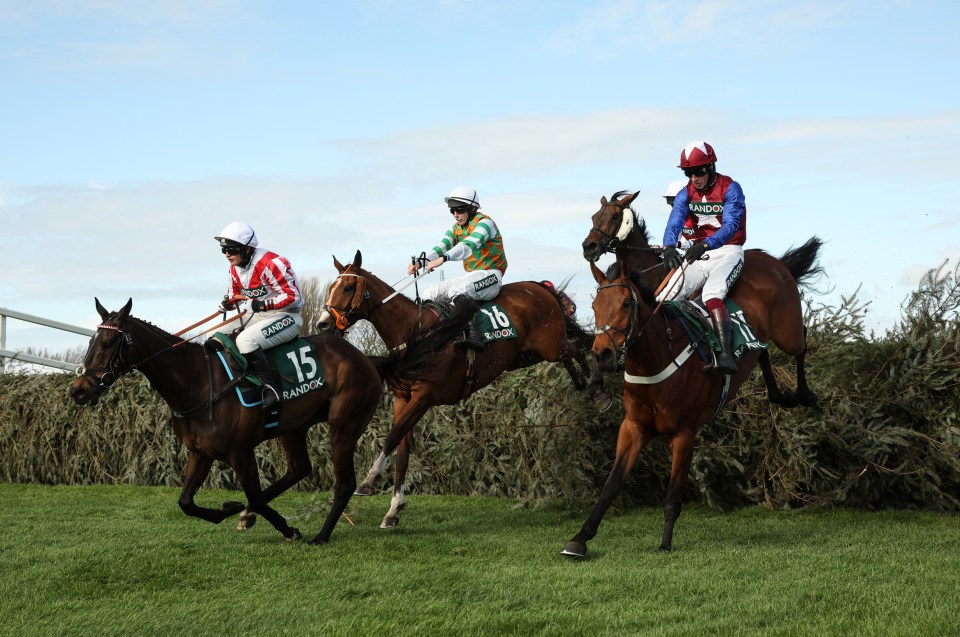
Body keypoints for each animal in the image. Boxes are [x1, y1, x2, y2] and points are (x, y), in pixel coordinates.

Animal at [70, 296, 468, 540]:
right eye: (90, 342)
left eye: (108, 344)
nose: (78, 390)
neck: (199, 383)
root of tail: (367, 358)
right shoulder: (200, 453)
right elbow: (186, 503)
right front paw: (232, 509)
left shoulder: (240, 452)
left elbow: (256, 496)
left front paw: (285, 528)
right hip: (293, 427)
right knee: (299, 469)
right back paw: (250, 514)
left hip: (344, 425)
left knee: (344, 482)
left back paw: (321, 535)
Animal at [316, 248, 608, 528]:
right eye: (331, 287)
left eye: (348, 287)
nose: (322, 323)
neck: (417, 333)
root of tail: (540, 287)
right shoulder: (403, 399)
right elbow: (402, 451)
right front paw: (393, 510)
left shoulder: (425, 396)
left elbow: (392, 437)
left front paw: (368, 481)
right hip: (526, 355)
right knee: (570, 352)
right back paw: (582, 383)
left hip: (550, 345)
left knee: (576, 348)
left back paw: (598, 391)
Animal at [564, 240, 824, 556]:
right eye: (594, 305)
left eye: (626, 303)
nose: (602, 354)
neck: (656, 358)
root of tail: (768, 258)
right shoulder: (633, 427)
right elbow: (611, 485)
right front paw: (580, 538)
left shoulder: (684, 433)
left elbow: (673, 495)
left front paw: (665, 543)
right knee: (761, 350)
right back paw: (778, 395)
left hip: (787, 332)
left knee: (802, 341)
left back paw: (804, 394)